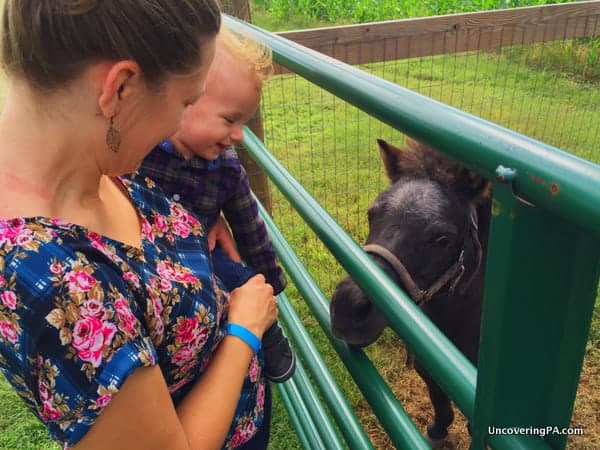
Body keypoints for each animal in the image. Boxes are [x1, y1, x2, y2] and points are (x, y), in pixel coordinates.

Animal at [328, 140, 492, 442]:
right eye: (371, 215)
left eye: (442, 238)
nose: (347, 308)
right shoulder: (426, 366)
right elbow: (439, 401)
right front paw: (437, 432)